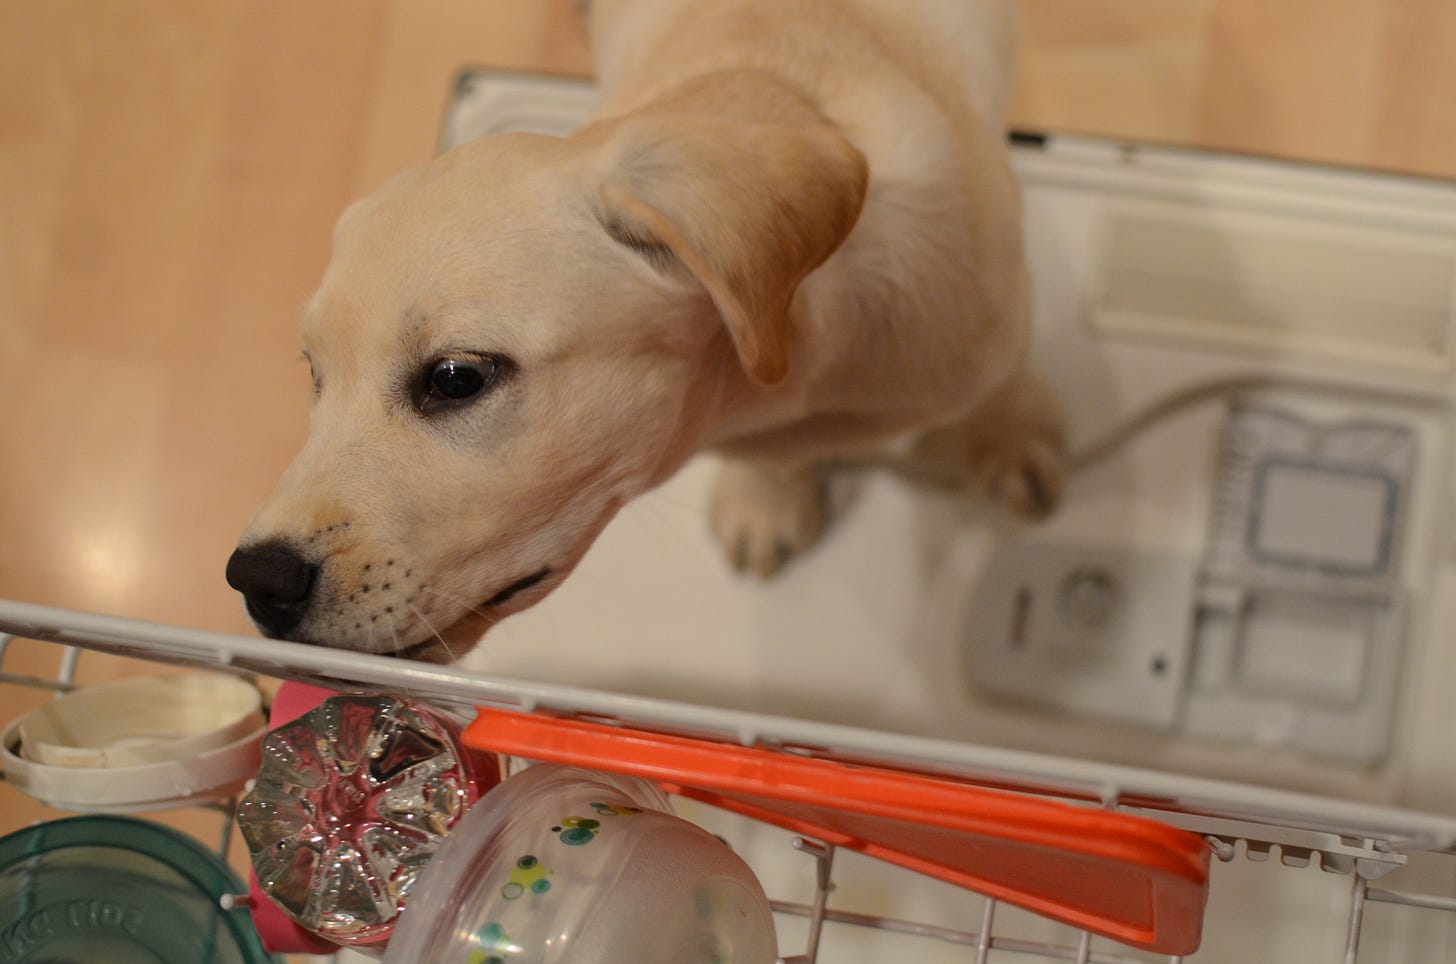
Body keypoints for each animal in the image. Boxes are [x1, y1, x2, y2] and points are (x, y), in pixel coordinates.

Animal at [230, 0, 1071, 661]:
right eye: (313, 375)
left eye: (456, 378)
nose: (255, 581)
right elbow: (778, 457)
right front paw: (768, 499)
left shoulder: (1002, 316)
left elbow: (1008, 383)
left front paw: (1011, 442)